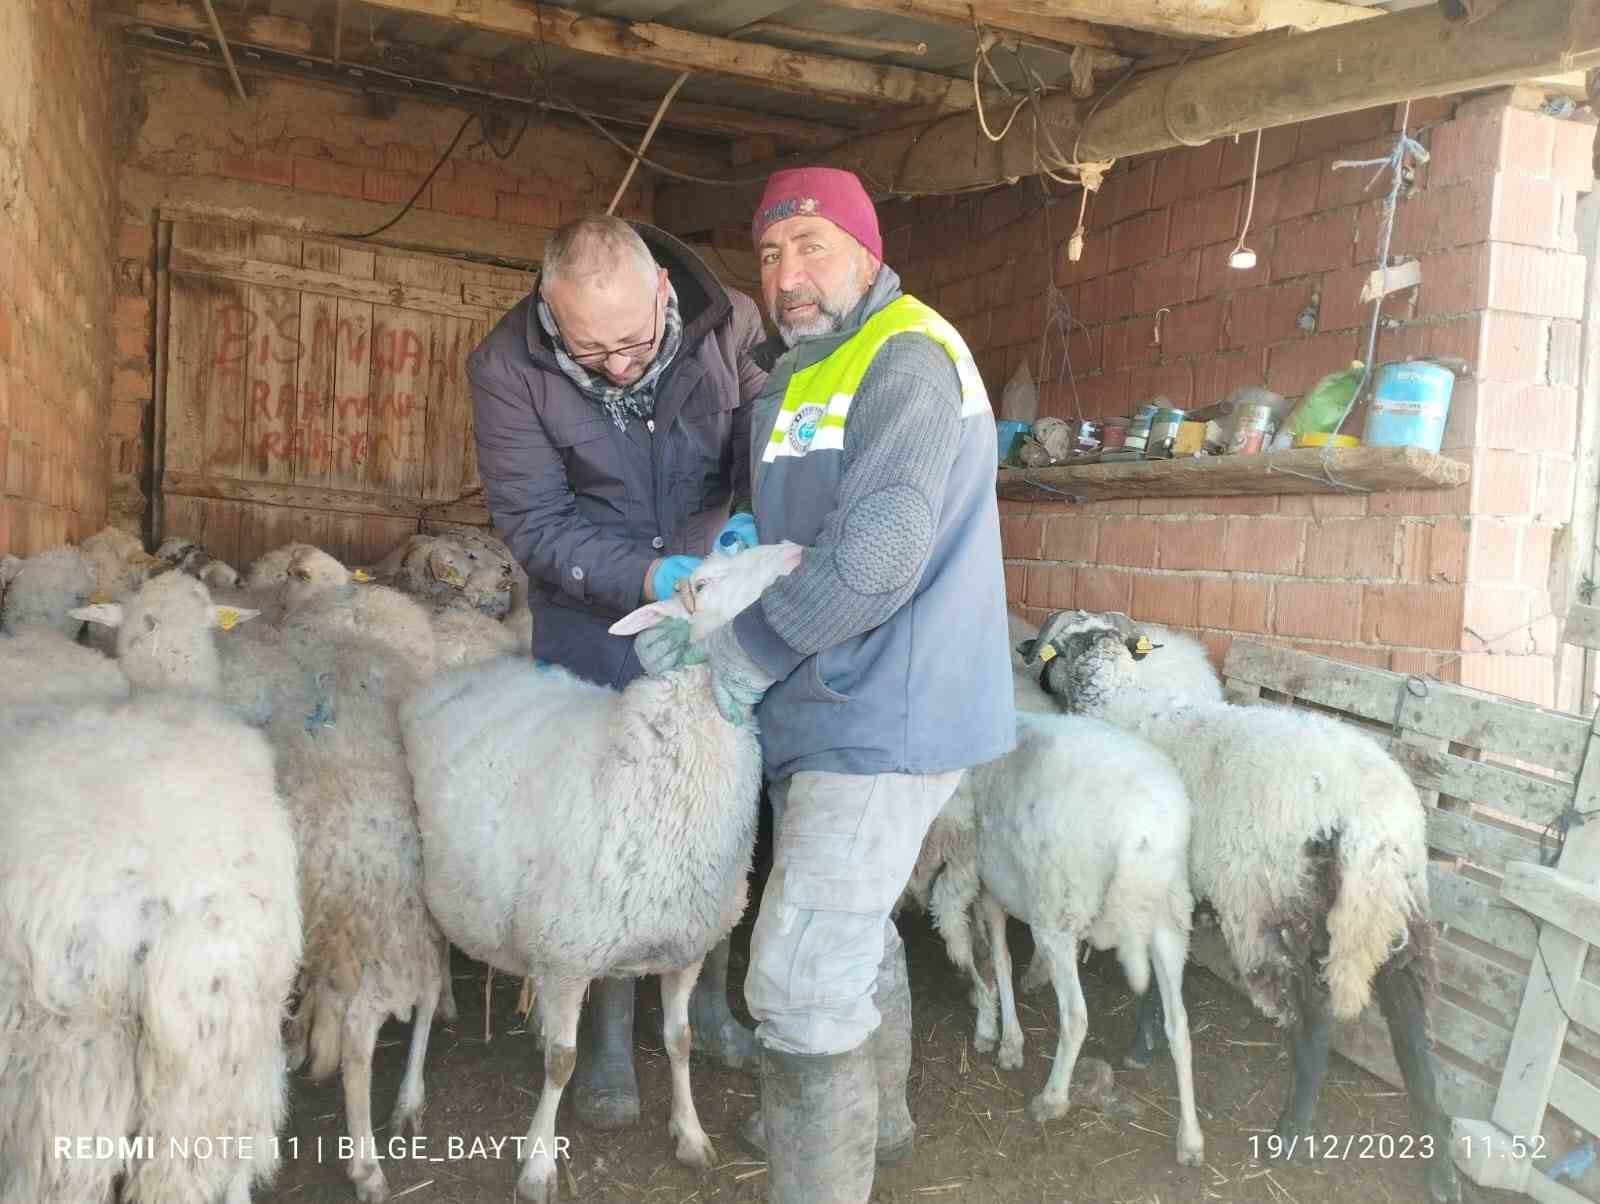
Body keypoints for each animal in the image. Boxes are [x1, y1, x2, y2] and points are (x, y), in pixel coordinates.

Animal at [400, 544, 800, 1204]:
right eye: (701, 584)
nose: (795, 550)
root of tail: (460, 673)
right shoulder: (568, 955)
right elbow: (562, 1064)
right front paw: (538, 1164)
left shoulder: (684, 947)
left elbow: (679, 1041)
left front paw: (690, 1135)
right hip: (424, 893)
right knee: (427, 991)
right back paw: (410, 1097)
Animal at [1024, 611, 1465, 1204]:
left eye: (1054, 648)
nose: (1026, 648)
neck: (1118, 702)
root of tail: (1370, 823)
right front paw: (1150, 1039)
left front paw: (1140, 1044)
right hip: (1401, 905)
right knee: (1410, 1020)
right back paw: (1440, 1163)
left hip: (1277, 905)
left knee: (1314, 1018)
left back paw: (1293, 1131)